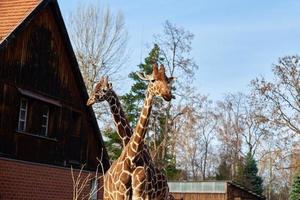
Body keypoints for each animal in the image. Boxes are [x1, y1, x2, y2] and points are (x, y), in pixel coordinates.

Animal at [86, 65, 175, 199]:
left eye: (167, 81)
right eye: (153, 80)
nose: (168, 94)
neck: (132, 157)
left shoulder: (141, 194)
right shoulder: (122, 193)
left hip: (160, 196)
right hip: (108, 195)